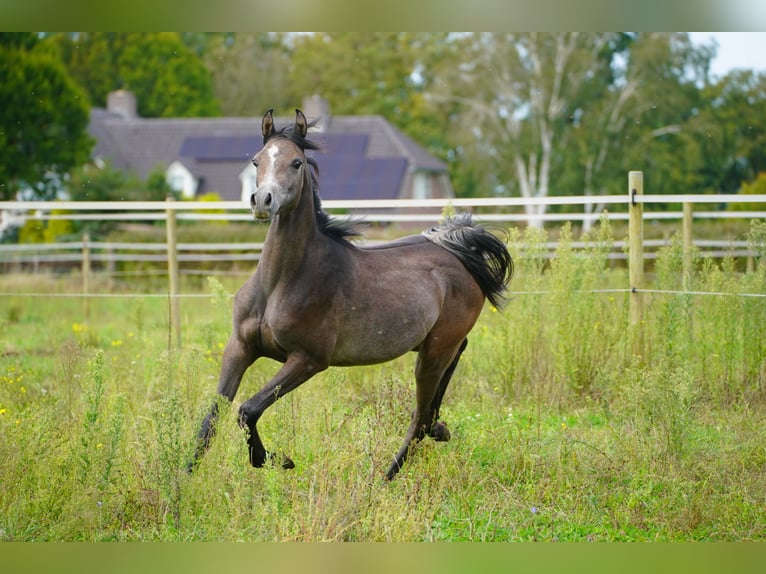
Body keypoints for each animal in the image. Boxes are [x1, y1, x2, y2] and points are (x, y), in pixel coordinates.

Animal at [190, 108, 516, 482]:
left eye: (296, 163)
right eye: (257, 160)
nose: (262, 201)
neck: (279, 284)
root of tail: (459, 254)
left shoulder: (308, 359)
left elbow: (248, 409)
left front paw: (277, 460)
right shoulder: (240, 348)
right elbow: (210, 421)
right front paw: (181, 481)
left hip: (433, 354)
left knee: (418, 420)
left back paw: (384, 480)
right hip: (434, 346)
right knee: (439, 392)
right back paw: (438, 429)